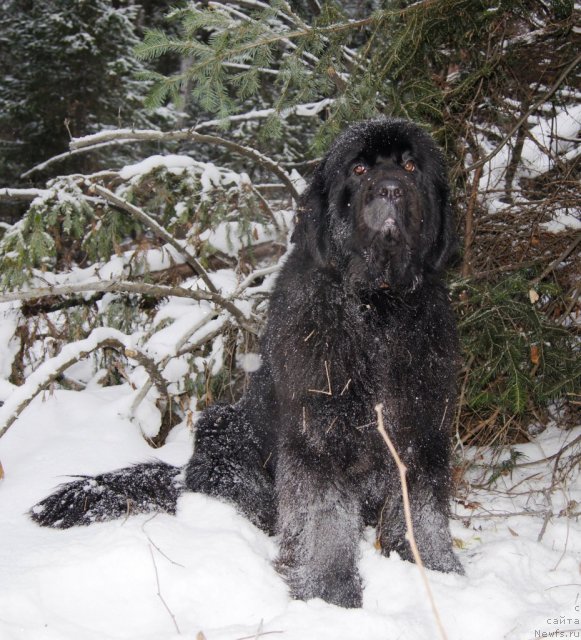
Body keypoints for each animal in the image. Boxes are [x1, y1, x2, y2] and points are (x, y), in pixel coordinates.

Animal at [31, 119, 460, 608]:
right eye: (359, 168)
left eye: (410, 167)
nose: (390, 189)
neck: (378, 307)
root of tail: (182, 475)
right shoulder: (317, 437)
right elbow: (323, 521)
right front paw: (329, 593)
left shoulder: (422, 429)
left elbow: (423, 510)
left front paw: (436, 572)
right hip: (226, 426)